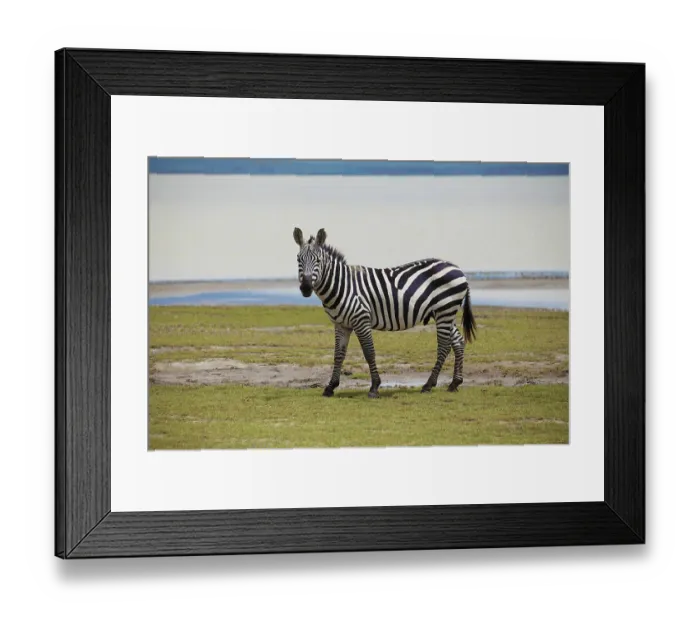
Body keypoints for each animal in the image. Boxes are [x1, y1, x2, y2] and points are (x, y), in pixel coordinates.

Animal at [293, 227, 476, 399]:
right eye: (298, 259)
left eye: (318, 260)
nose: (306, 288)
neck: (343, 286)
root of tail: (457, 268)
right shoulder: (341, 325)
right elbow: (338, 355)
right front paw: (330, 387)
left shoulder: (361, 319)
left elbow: (369, 352)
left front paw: (374, 387)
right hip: (445, 313)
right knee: (458, 342)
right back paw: (454, 383)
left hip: (444, 310)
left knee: (444, 346)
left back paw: (428, 385)